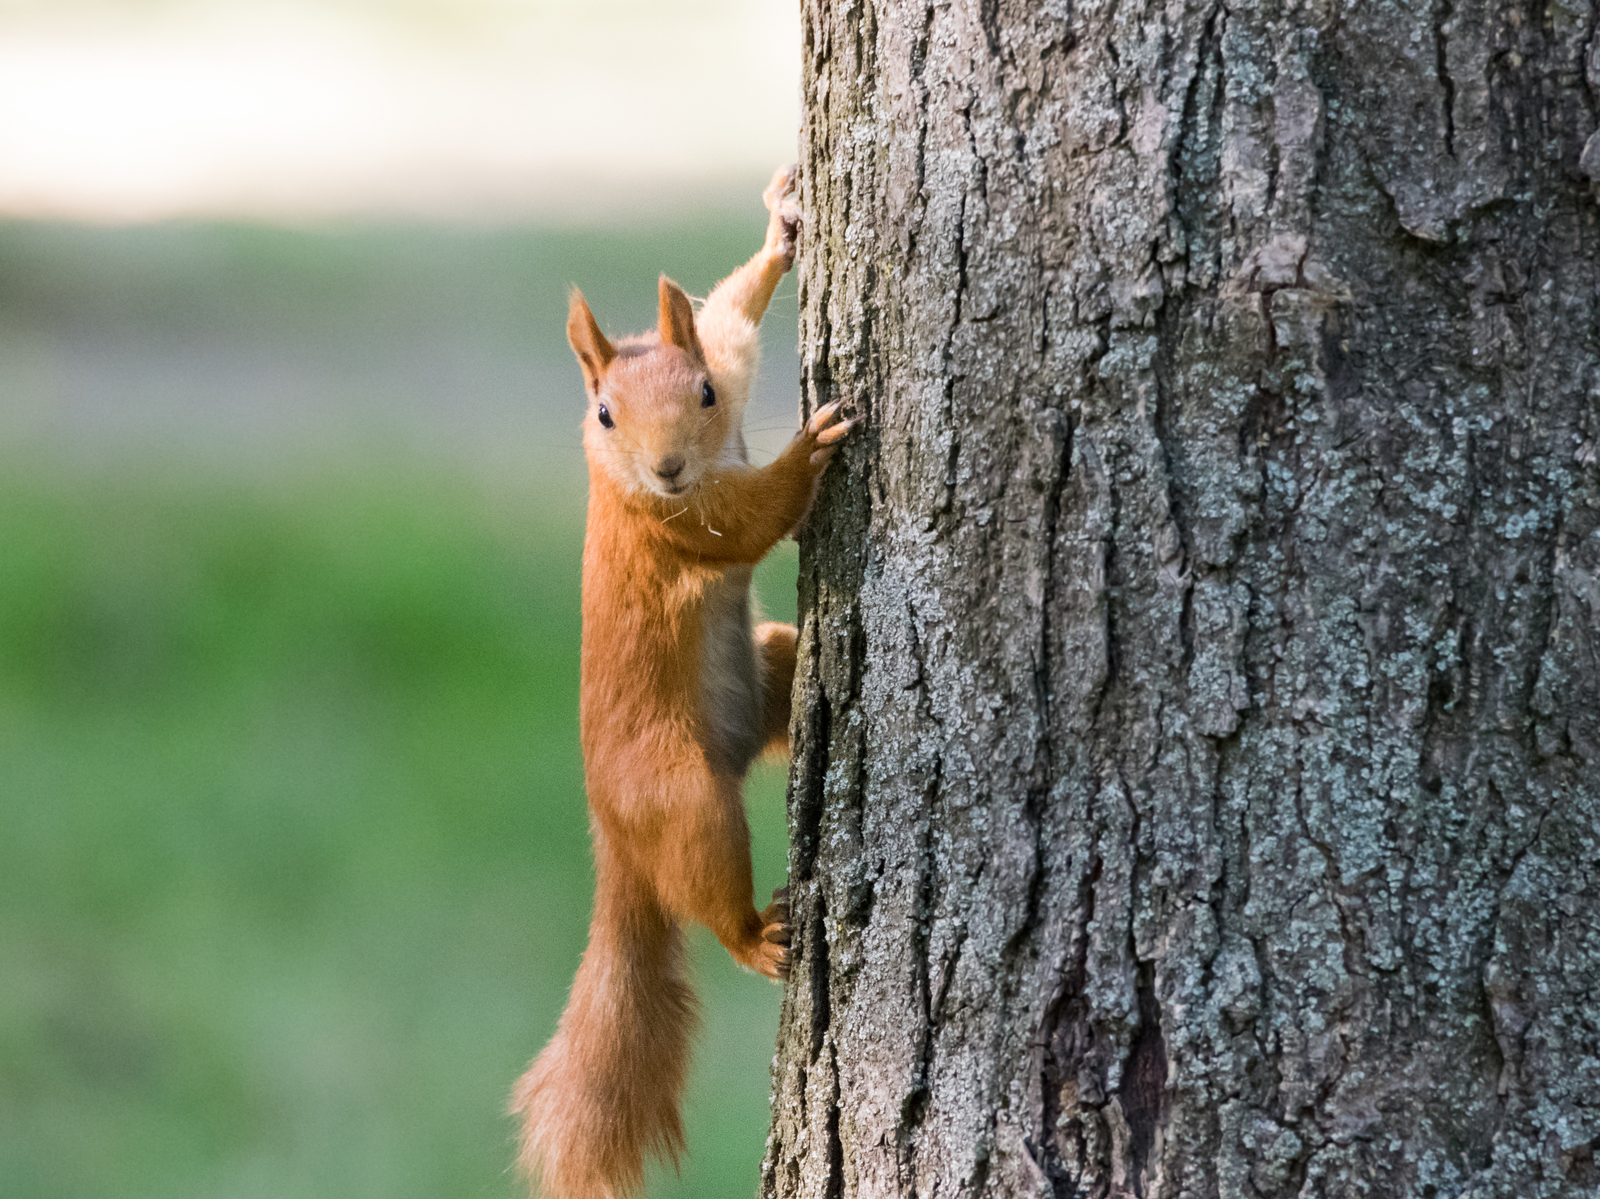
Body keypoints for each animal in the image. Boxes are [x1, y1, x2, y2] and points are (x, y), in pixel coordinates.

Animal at [515, 165, 864, 1197]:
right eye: (603, 414)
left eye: (704, 394)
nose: (667, 466)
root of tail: (613, 836)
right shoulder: (679, 527)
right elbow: (754, 517)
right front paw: (812, 445)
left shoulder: (727, 378)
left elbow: (731, 320)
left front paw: (783, 225)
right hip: (680, 798)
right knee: (707, 885)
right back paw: (757, 934)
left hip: (773, 665)